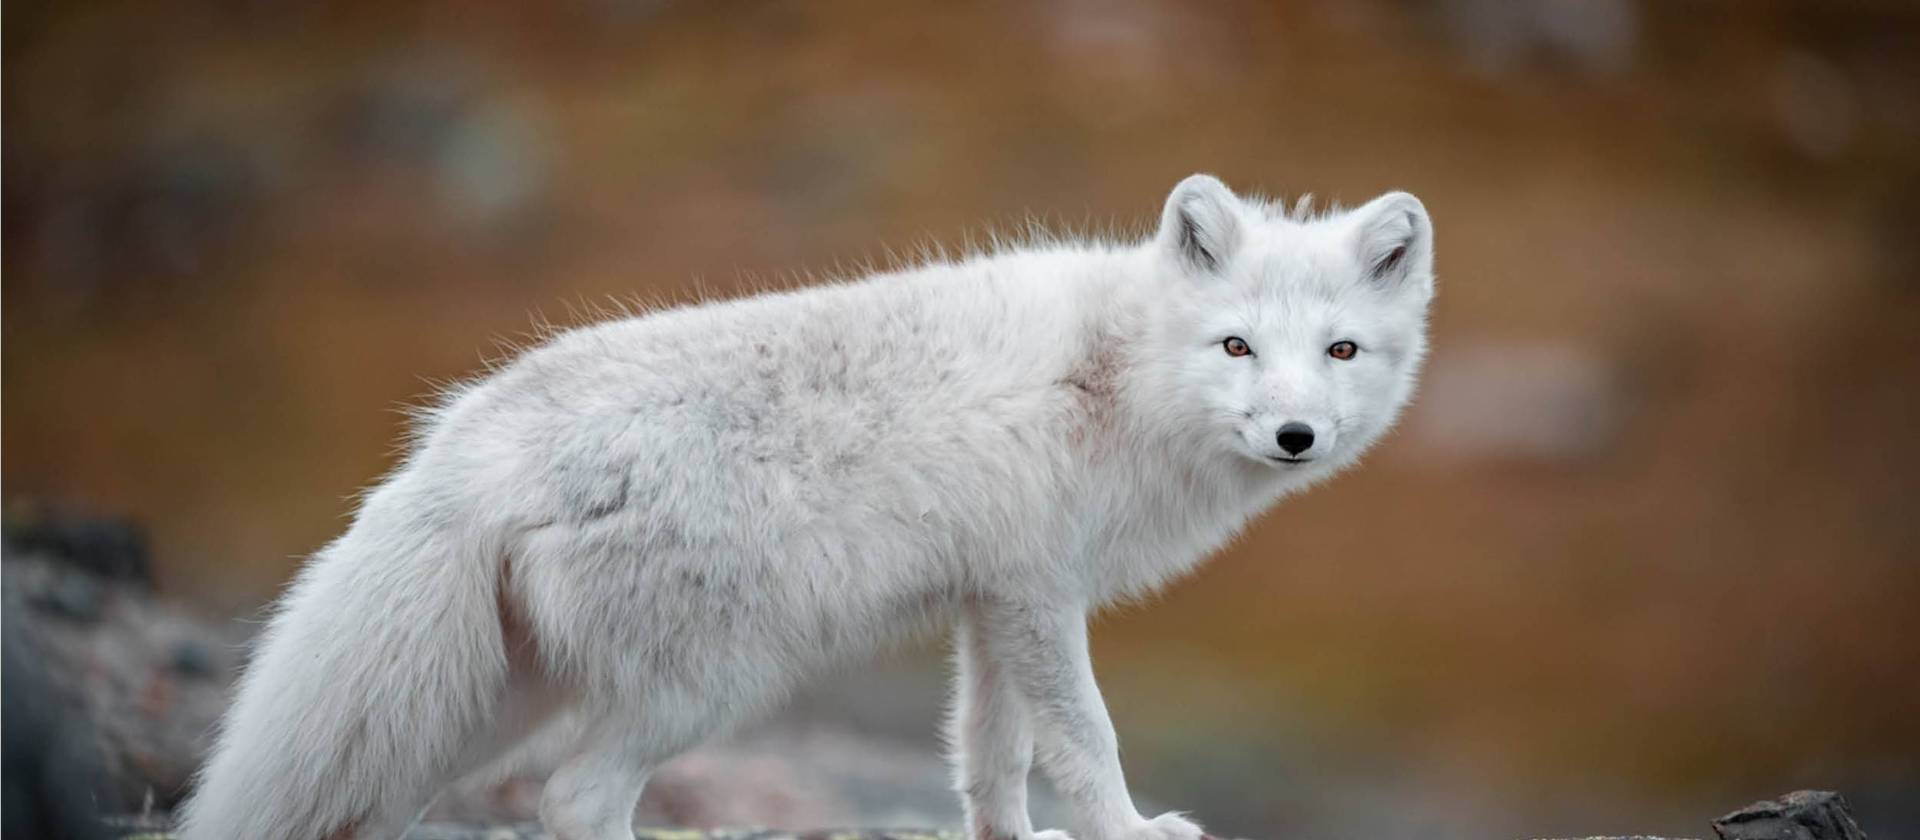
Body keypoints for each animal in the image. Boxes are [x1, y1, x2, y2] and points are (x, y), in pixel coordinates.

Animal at [177, 174, 1435, 840]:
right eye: (1235, 345)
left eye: (1339, 350)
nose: (1295, 434)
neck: (1114, 373)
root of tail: (471, 443)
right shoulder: (1037, 594)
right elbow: (1084, 740)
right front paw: (1131, 830)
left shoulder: (995, 601)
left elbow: (992, 757)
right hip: (709, 683)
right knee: (576, 797)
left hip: (496, 699)